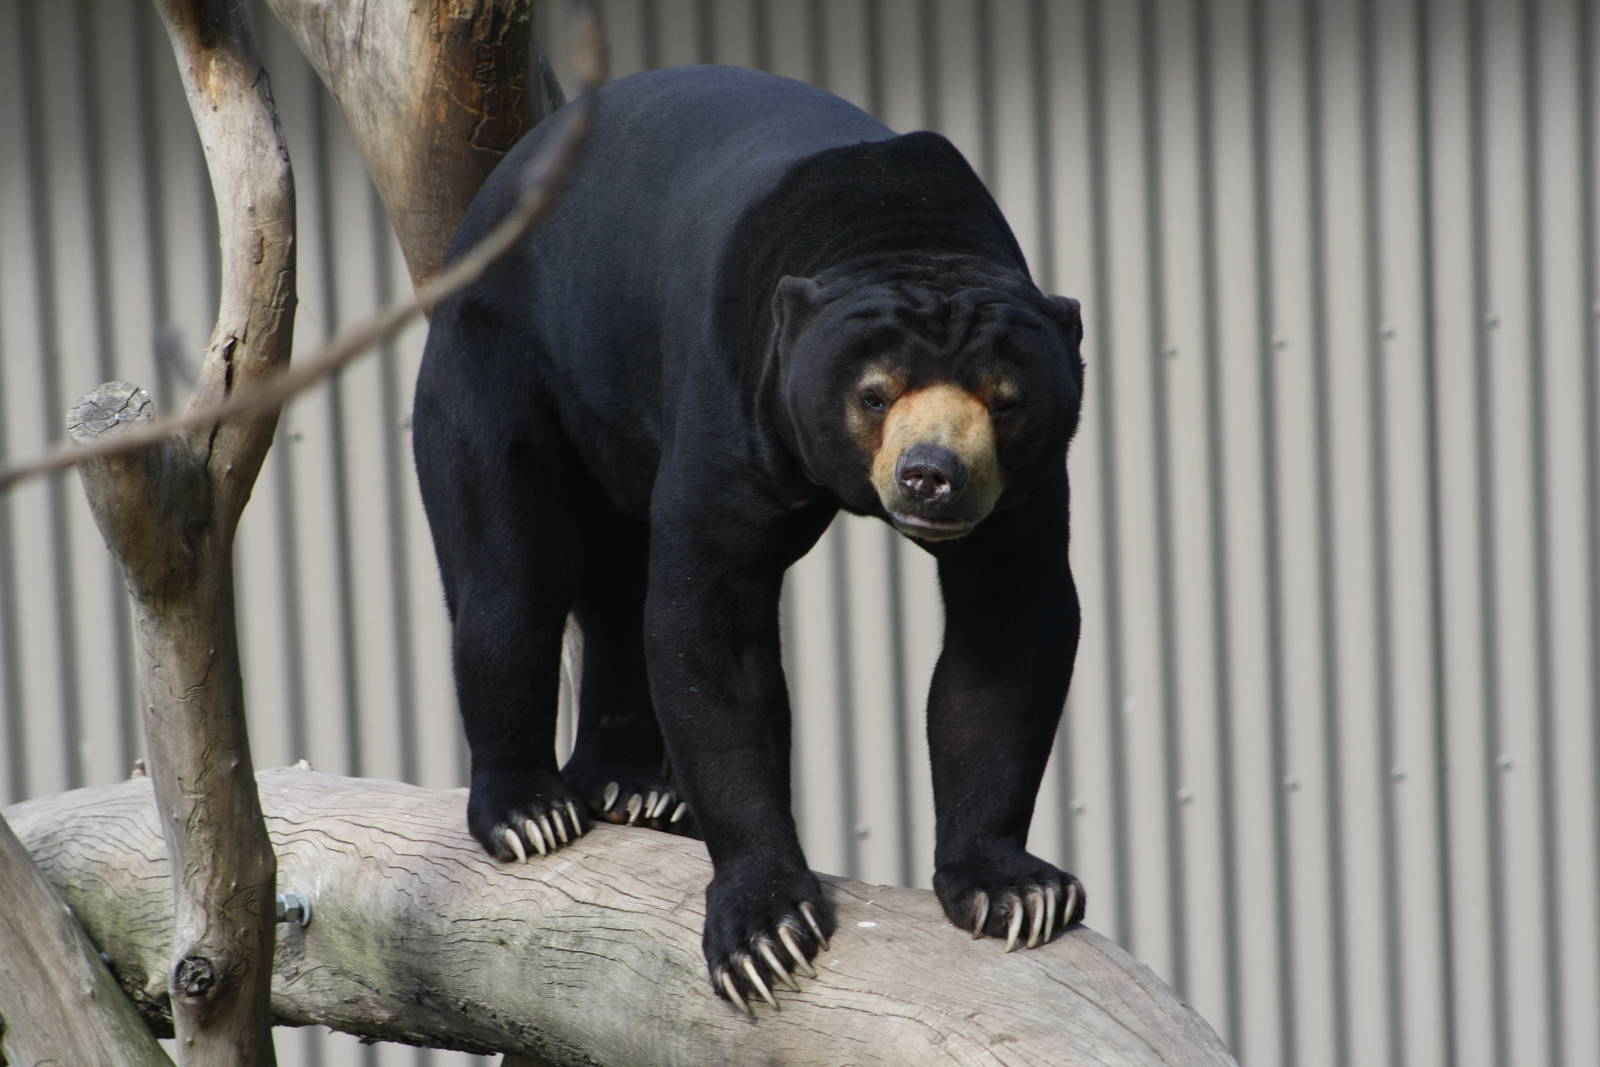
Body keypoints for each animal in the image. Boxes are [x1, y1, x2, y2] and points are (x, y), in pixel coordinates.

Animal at [413, 65, 1086, 1011]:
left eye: (1006, 400)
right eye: (875, 393)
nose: (932, 476)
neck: (900, 228)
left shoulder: (1024, 489)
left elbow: (1009, 627)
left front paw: (1016, 890)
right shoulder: (733, 395)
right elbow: (710, 629)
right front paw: (767, 932)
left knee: (618, 587)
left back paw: (632, 787)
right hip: (490, 364)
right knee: (512, 577)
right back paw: (530, 812)